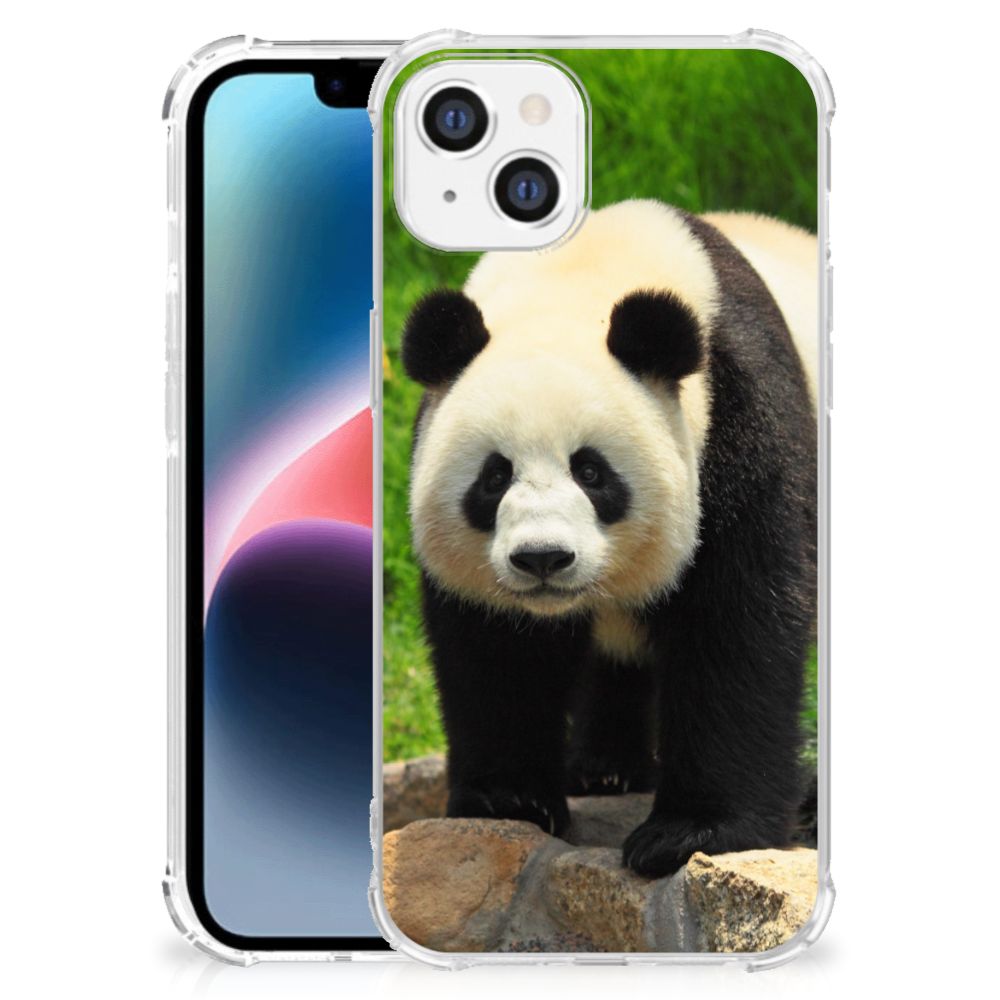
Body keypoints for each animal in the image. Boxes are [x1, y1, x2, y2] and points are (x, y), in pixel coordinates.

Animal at [398, 199, 818, 878]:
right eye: (494, 476)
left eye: (591, 472)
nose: (542, 558)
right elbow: (497, 648)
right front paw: (509, 800)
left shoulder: (740, 419)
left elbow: (738, 623)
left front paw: (690, 833)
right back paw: (605, 769)